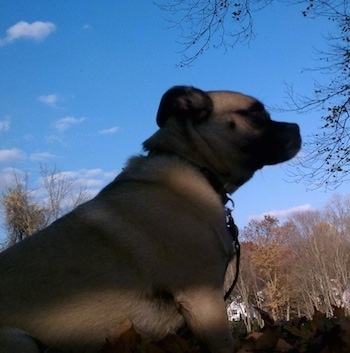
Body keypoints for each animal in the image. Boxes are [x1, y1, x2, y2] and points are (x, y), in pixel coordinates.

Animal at [0, 86, 300, 352]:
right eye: (257, 115)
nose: (296, 127)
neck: (193, 164)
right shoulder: (203, 298)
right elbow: (223, 344)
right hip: (21, 342)